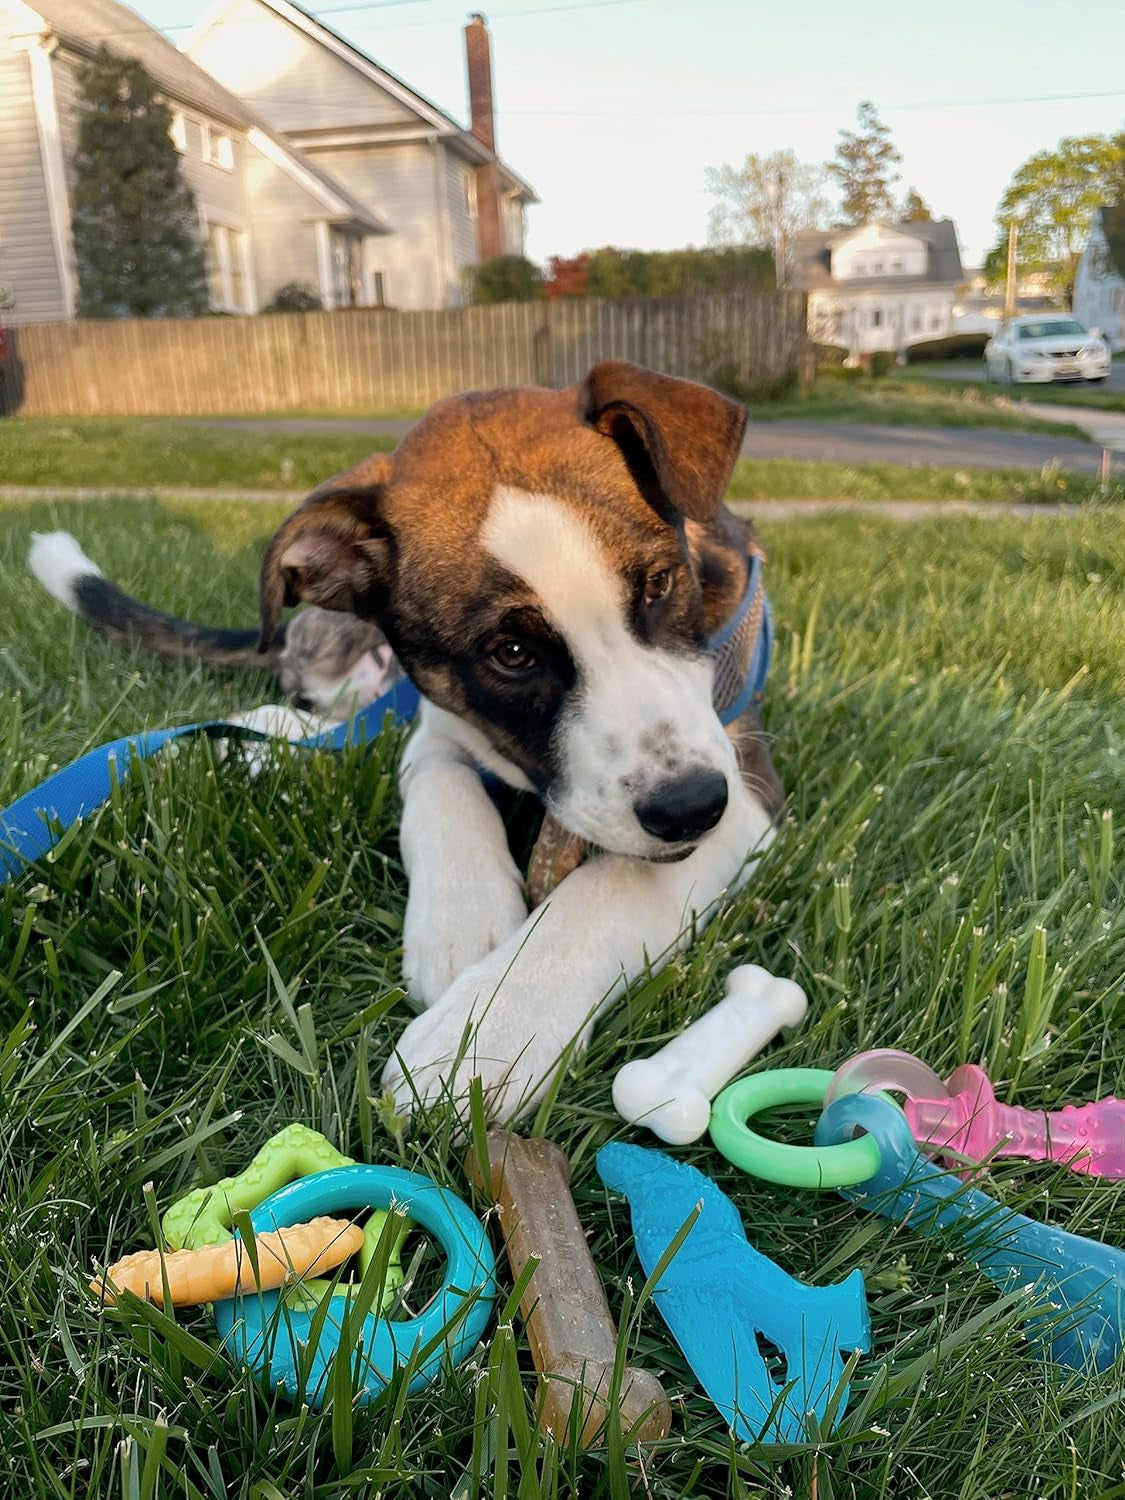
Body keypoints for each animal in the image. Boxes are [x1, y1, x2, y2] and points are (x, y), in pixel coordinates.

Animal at [255, 357, 786, 1122]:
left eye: (659, 584)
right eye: (510, 653)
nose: (689, 807)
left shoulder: (745, 789)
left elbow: (612, 884)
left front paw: (487, 1032)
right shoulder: (439, 727)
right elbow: (442, 786)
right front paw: (461, 924)